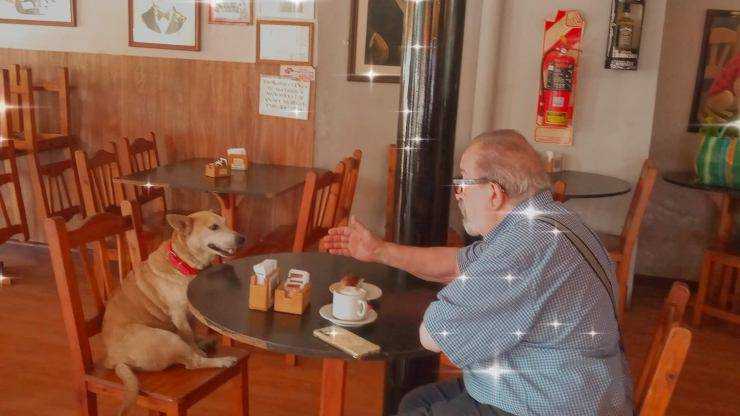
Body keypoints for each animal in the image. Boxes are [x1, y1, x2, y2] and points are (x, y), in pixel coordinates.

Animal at [102, 213, 246, 414]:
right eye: (214, 227)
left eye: (225, 223)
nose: (242, 238)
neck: (183, 263)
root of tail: (113, 360)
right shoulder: (179, 315)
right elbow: (190, 338)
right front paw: (198, 348)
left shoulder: (191, 313)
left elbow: (192, 333)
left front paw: (200, 342)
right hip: (167, 338)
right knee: (193, 363)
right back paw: (221, 361)